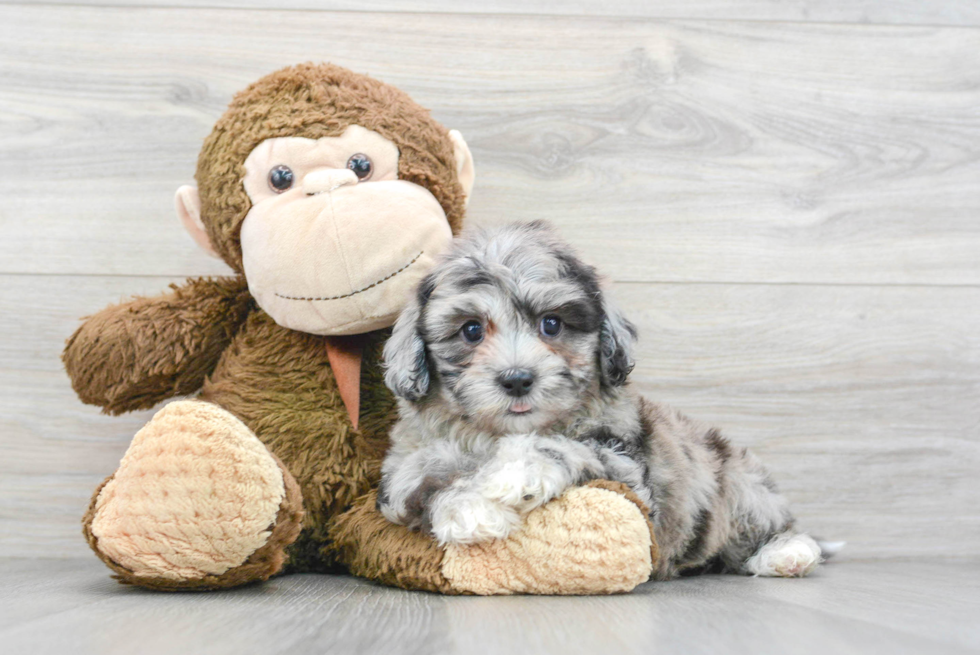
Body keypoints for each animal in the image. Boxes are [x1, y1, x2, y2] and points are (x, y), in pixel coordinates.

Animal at [378, 222, 824, 580]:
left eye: (552, 324)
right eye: (471, 330)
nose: (518, 379)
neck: (499, 433)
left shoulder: (625, 466)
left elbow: (565, 446)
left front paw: (515, 472)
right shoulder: (401, 471)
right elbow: (426, 478)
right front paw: (471, 510)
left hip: (738, 484)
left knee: (770, 527)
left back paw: (788, 553)